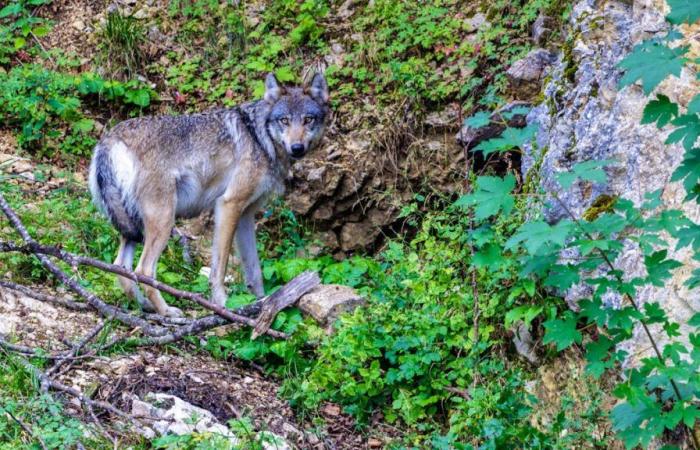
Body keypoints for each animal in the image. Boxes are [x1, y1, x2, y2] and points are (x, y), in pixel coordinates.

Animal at [87, 73, 328, 316]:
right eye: (284, 120)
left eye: (308, 120)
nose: (297, 147)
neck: (260, 139)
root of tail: (109, 139)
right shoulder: (228, 205)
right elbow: (219, 268)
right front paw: (222, 306)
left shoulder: (245, 216)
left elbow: (254, 270)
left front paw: (262, 303)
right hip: (163, 222)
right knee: (143, 270)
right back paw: (168, 312)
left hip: (133, 225)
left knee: (120, 267)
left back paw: (145, 307)